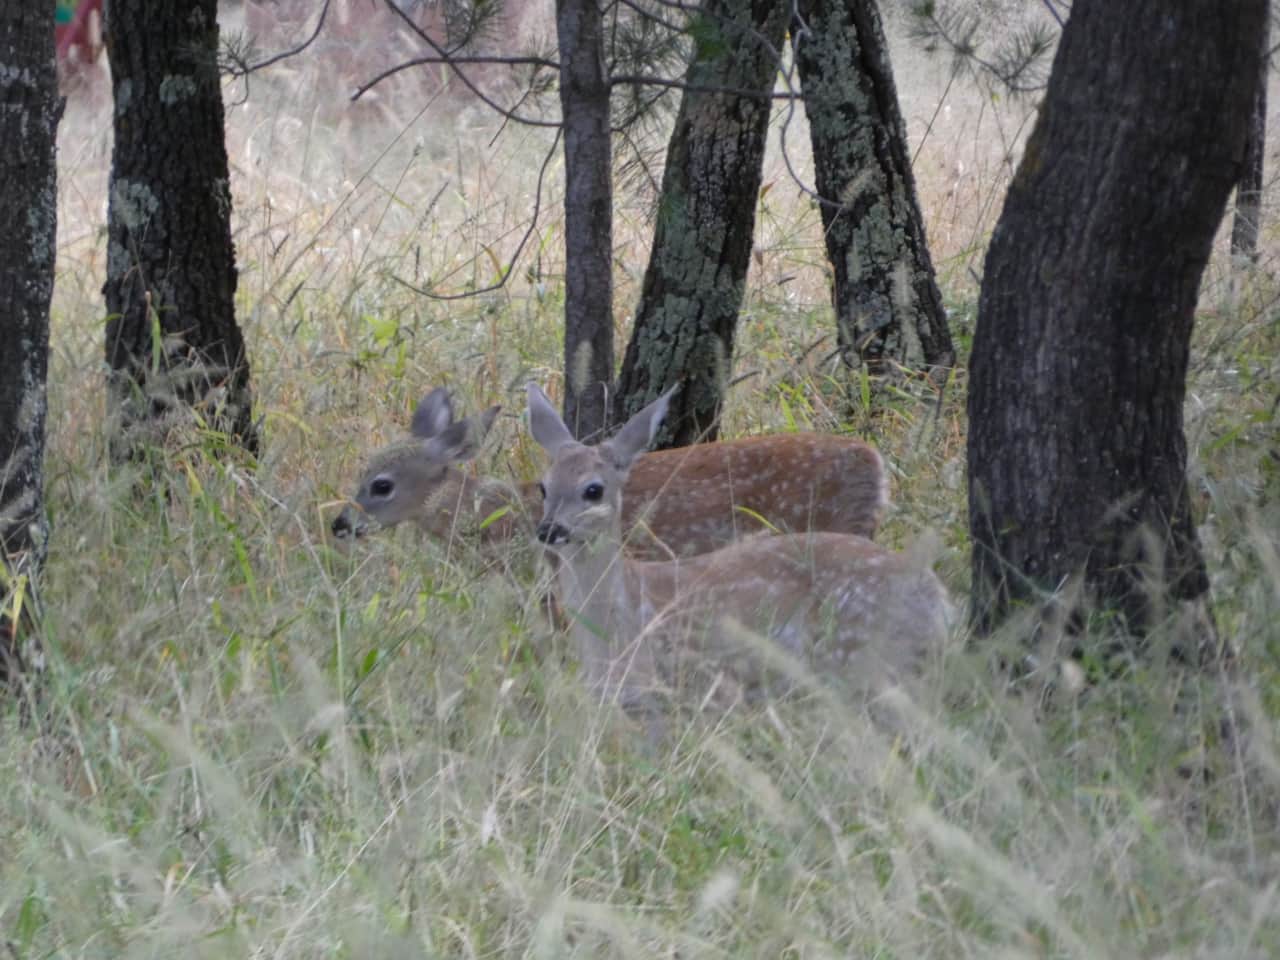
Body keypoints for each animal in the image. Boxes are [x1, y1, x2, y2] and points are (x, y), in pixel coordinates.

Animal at [526, 382, 954, 723]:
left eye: (593, 490)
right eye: (543, 486)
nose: (549, 530)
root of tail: (940, 603)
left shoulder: (687, 688)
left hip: (860, 659)